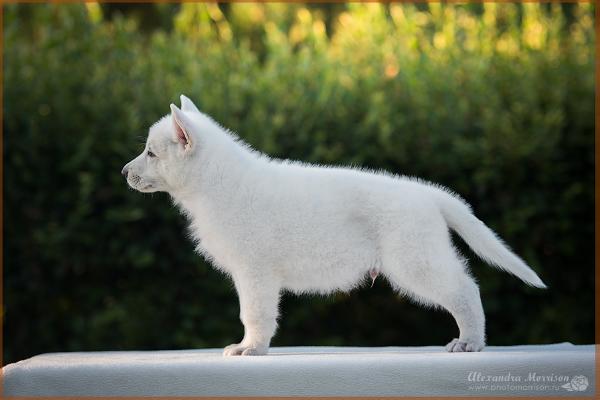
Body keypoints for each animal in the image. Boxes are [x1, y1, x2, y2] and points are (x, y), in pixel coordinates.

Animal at [122, 94, 544, 356]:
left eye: (151, 153)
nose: (124, 172)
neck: (215, 182)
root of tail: (429, 194)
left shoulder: (254, 272)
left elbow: (253, 313)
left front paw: (250, 348)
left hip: (415, 261)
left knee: (465, 290)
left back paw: (470, 341)